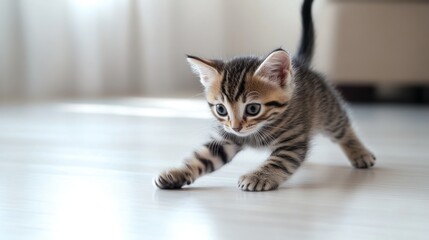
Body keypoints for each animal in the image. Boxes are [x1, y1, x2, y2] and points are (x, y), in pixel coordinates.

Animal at [155, 0, 374, 191]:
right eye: (221, 109)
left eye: (253, 108)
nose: (236, 127)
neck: (256, 132)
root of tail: (298, 63)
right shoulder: (225, 139)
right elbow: (202, 157)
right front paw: (176, 173)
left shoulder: (292, 141)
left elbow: (278, 162)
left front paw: (258, 176)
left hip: (327, 110)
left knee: (342, 127)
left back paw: (360, 153)